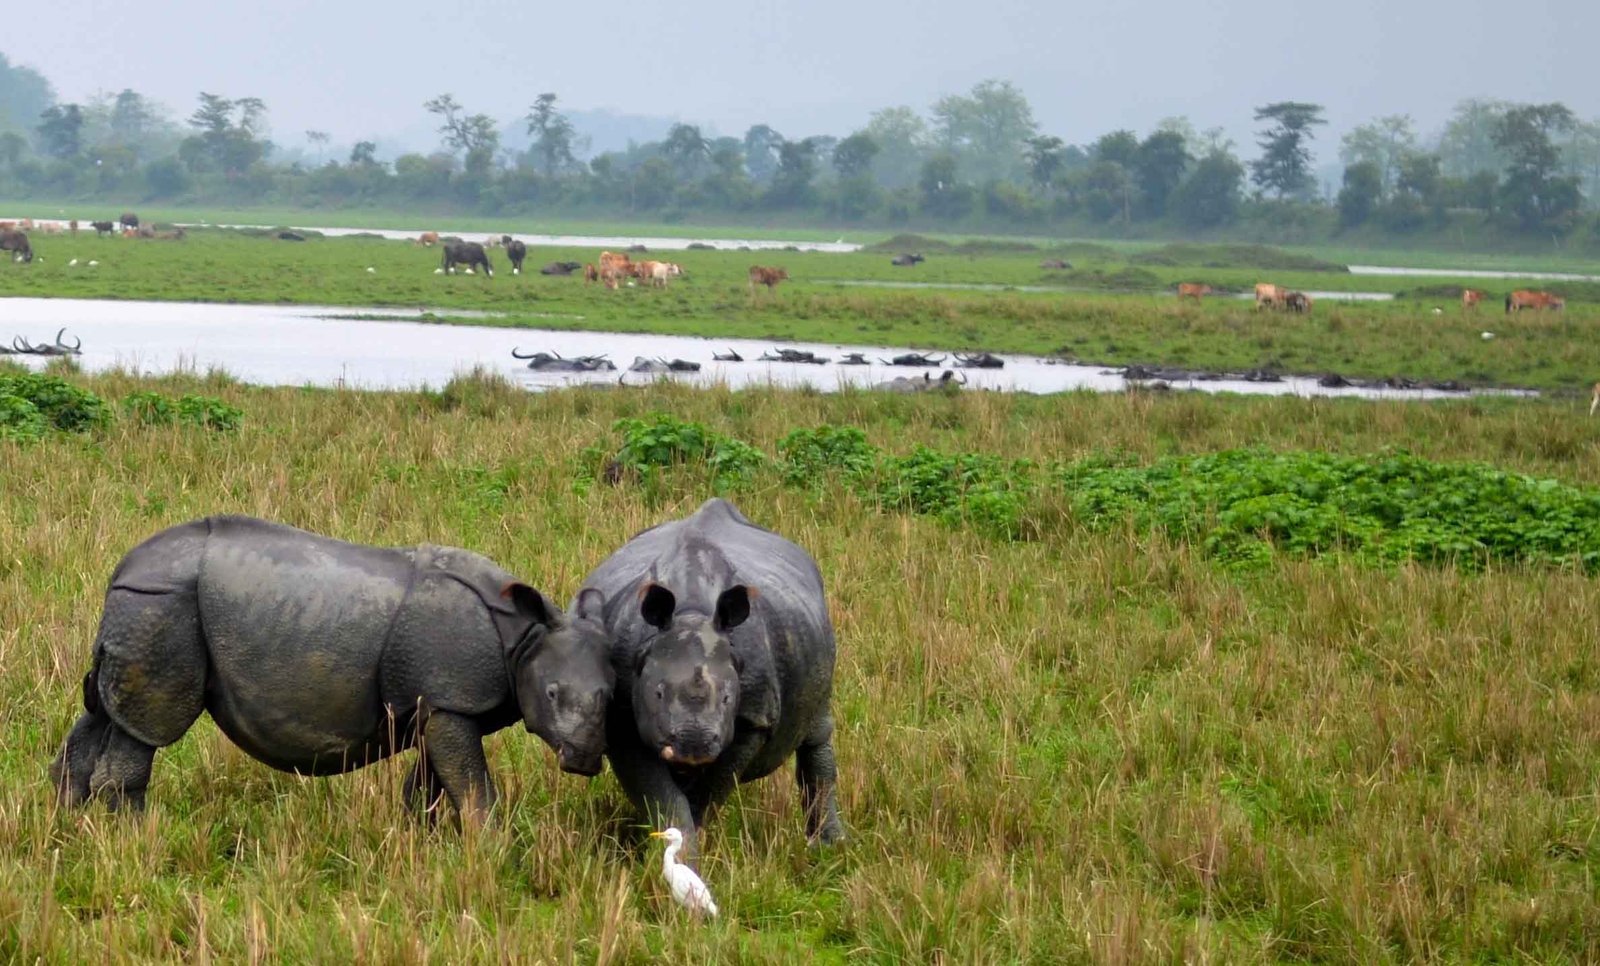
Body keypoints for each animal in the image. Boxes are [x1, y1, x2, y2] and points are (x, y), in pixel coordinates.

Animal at [48, 518, 611, 818]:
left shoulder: (437, 704)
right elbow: (472, 788)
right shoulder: (452, 698)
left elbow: (430, 786)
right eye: (553, 694)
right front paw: (489, 847)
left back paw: (70, 831)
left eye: (610, 696)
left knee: (103, 713)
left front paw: (418, 847)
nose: (584, 759)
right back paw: (134, 841)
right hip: (162, 605)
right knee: (148, 728)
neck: (525, 637)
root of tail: (122, 569)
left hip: (142, 608)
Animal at [579, 498, 851, 857]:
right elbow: (659, 795)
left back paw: (828, 849)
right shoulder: (621, 719)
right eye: (658, 694)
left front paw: (688, 850)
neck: (691, 612)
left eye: (726, 699)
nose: (693, 744)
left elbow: (710, 791)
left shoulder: (752, 717)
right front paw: (676, 853)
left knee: (816, 729)